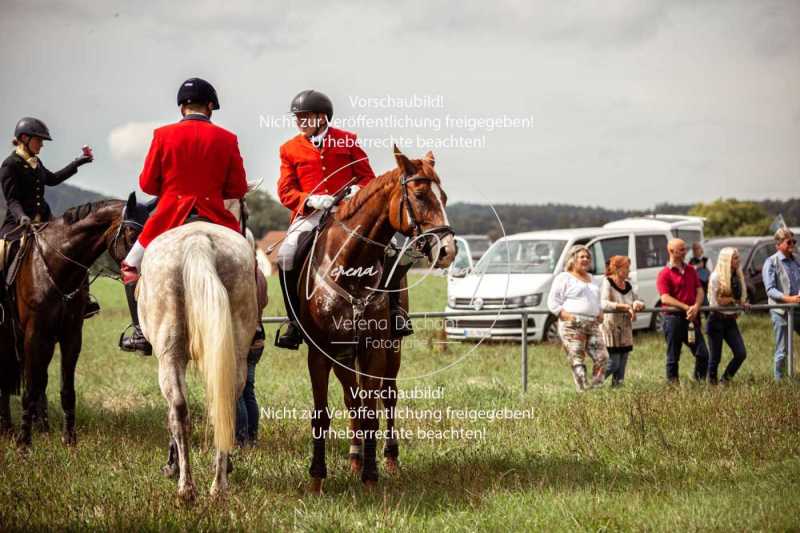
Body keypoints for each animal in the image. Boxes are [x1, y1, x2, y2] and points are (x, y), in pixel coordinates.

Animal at [0, 195, 145, 444]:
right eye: (130, 232)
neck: (56, 265)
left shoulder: (70, 336)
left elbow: (65, 389)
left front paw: (69, 440)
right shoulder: (34, 335)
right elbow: (30, 388)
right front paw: (23, 443)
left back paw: (40, 426)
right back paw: (8, 429)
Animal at [294, 145, 456, 490]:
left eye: (445, 197)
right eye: (420, 195)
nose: (448, 250)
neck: (350, 265)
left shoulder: (374, 348)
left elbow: (372, 412)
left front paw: (371, 477)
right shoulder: (321, 352)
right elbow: (323, 414)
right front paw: (317, 479)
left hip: (391, 351)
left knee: (387, 397)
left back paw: (389, 459)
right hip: (344, 355)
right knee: (352, 399)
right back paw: (355, 457)